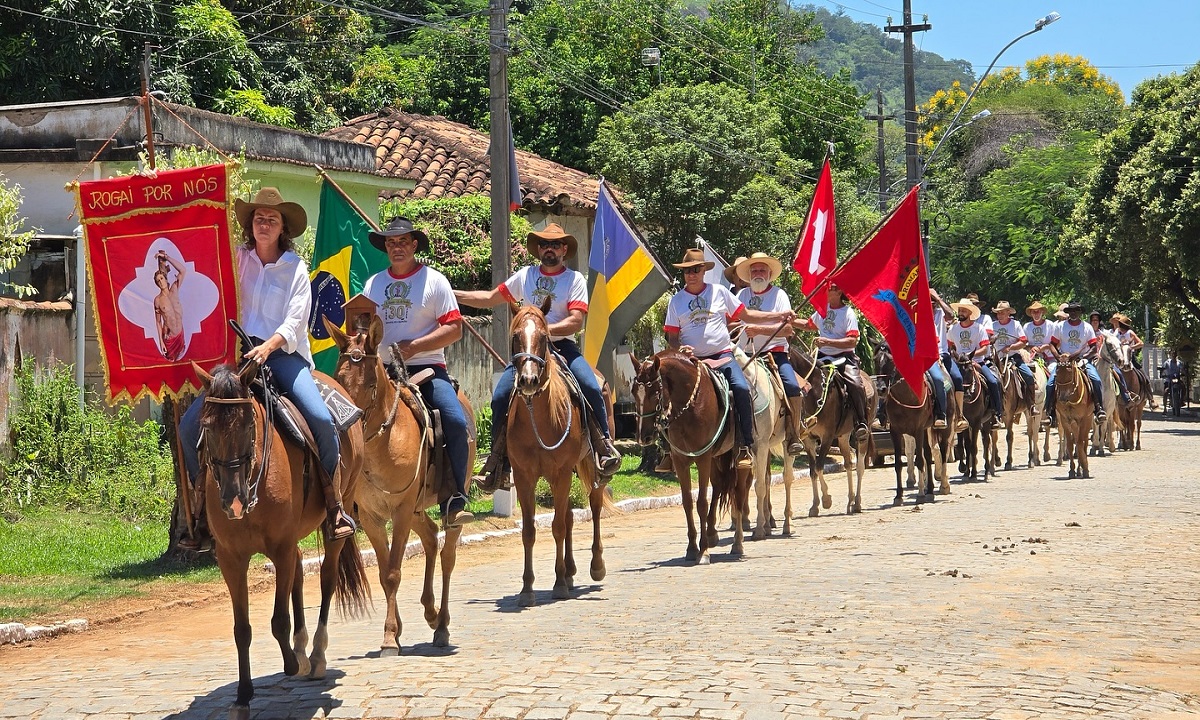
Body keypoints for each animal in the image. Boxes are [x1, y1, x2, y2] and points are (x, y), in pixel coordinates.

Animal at [194, 362, 369, 720]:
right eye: (207, 427)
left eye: (248, 424)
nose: (233, 501)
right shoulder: (230, 558)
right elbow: (242, 629)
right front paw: (243, 697)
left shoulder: (280, 548)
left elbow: (278, 620)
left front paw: (291, 663)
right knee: (300, 573)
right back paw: (301, 647)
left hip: (338, 515)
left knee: (327, 578)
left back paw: (315, 657)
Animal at [324, 314, 472, 652]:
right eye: (338, 377)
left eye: (370, 383)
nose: (346, 424)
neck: (384, 442)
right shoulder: (372, 516)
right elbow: (383, 573)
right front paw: (394, 631)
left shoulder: (401, 510)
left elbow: (393, 571)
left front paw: (391, 637)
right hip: (416, 509)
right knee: (430, 537)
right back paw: (431, 612)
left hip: (439, 505)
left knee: (447, 554)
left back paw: (442, 625)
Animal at [508, 301, 614, 604]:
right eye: (515, 336)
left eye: (544, 337)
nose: (528, 380)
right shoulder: (524, 476)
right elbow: (530, 531)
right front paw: (527, 589)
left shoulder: (561, 473)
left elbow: (556, 527)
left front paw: (558, 584)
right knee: (567, 515)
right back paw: (569, 571)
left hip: (588, 466)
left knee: (594, 505)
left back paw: (595, 566)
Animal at [628, 350, 748, 566]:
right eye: (634, 391)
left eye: (655, 392)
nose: (644, 437)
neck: (689, 407)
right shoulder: (680, 460)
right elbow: (687, 502)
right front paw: (692, 548)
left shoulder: (702, 458)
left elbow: (701, 502)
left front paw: (704, 552)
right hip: (717, 458)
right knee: (719, 486)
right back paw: (712, 534)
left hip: (741, 459)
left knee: (739, 495)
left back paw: (738, 544)